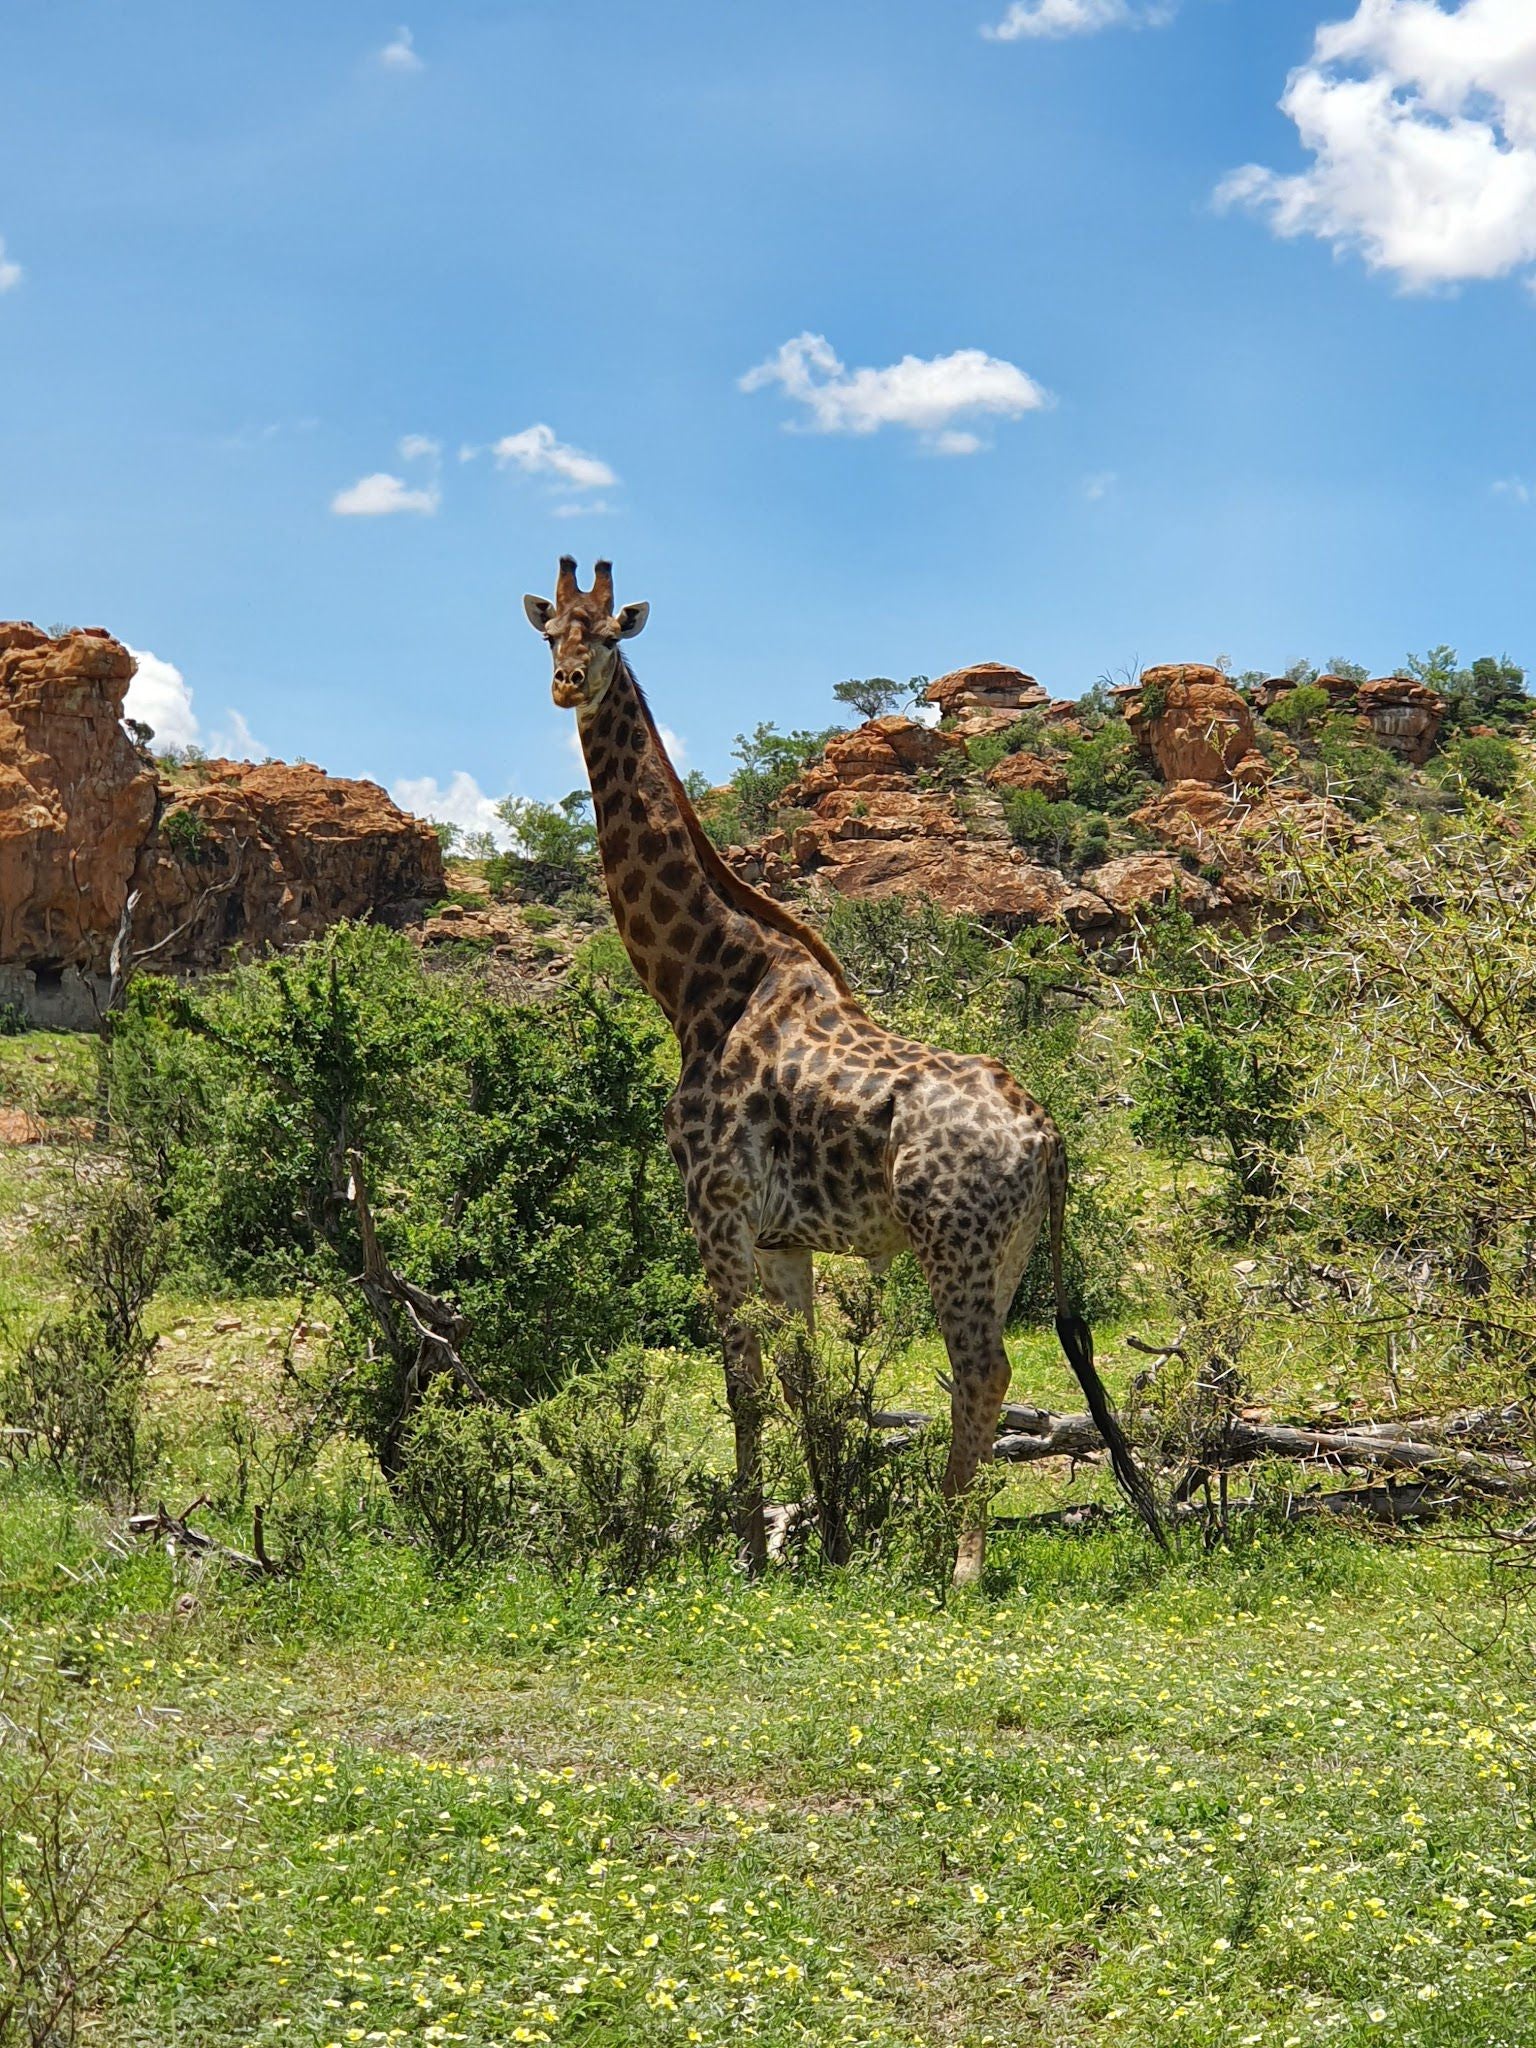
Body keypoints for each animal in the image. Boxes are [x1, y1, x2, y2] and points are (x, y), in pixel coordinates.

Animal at [524, 561, 1163, 1581]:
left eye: (611, 635)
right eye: (551, 635)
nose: (566, 684)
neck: (697, 984)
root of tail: (1050, 1136)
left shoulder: (715, 1209)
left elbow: (742, 1387)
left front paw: (752, 1553)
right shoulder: (784, 1239)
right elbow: (808, 1386)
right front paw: (825, 1539)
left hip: (956, 1243)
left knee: (984, 1370)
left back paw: (955, 1560)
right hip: (1012, 1250)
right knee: (990, 1371)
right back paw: (945, 1543)